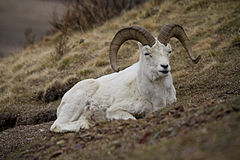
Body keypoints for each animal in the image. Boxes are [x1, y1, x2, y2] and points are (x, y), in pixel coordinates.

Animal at [50, 22, 201, 132]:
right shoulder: (115, 111)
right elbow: (132, 119)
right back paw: (86, 124)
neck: (155, 96)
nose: (164, 67)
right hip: (75, 104)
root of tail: (63, 101)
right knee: (56, 125)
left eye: (169, 51)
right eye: (147, 53)